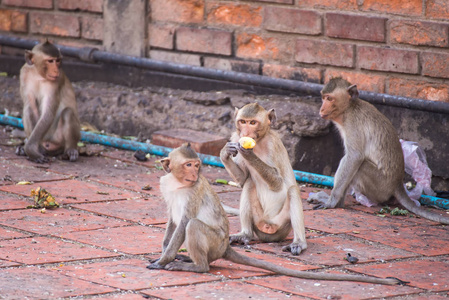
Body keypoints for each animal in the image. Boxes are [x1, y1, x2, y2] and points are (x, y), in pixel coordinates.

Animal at [219, 103, 306, 255]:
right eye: (243, 122)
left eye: (253, 123)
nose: (245, 133)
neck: (259, 141)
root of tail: (268, 226)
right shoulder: (235, 138)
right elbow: (243, 179)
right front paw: (225, 152)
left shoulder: (272, 144)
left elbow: (278, 183)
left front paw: (249, 154)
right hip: (258, 221)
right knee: (249, 183)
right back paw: (245, 234)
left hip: (282, 225)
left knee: (293, 191)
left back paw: (299, 243)